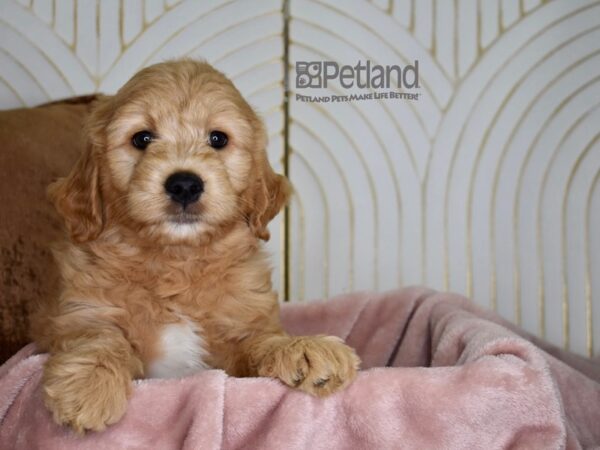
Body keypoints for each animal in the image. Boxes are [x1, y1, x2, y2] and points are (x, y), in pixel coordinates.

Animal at [30, 59, 360, 432]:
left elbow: (261, 340)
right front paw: (89, 386)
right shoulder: (82, 312)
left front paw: (304, 348)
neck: (176, 261)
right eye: (142, 138)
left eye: (217, 138)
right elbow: (98, 337)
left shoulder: (240, 331)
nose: (185, 184)